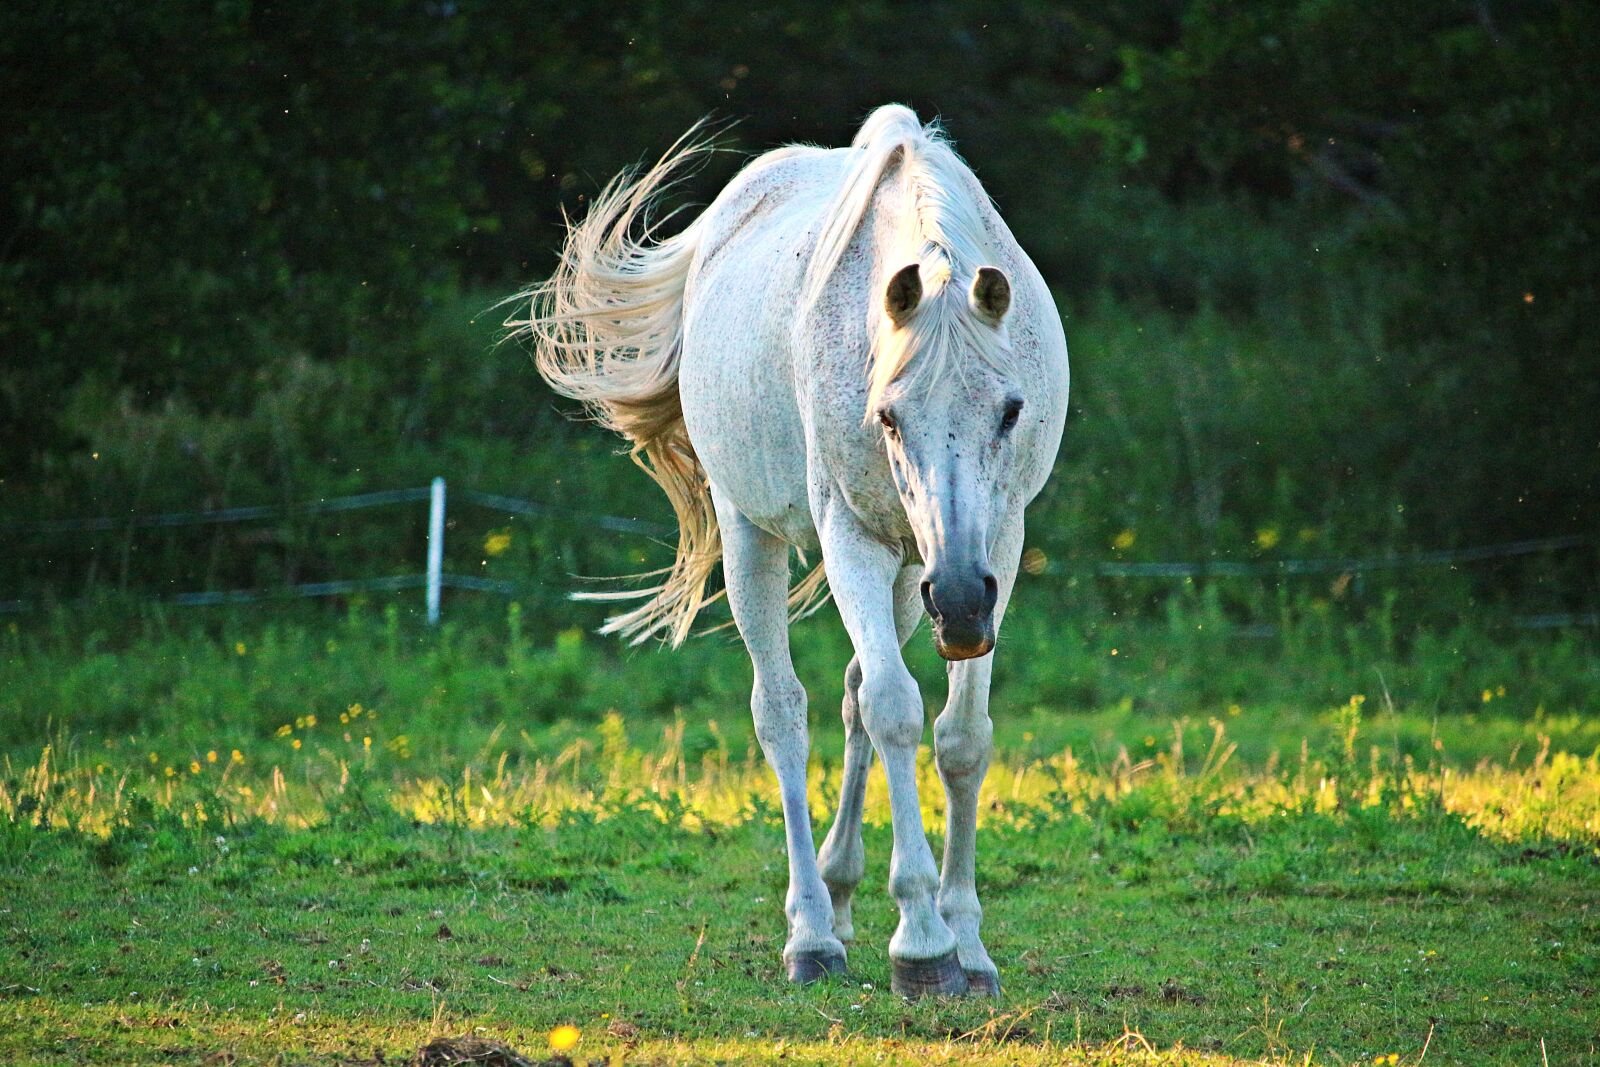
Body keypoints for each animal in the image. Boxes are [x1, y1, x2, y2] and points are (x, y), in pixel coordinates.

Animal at [511, 104, 1070, 998]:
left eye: (1012, 409)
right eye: (888, 415)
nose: (958, 603)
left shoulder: (1000, 543)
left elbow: (960, 736)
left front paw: (969, 943)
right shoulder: (851, 537)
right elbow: (895, 708)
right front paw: (923, 942)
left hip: (912, 567)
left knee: (850, 692)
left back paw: (840, 895)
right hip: (761, 537)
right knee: (785, 713)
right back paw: (813, 933)